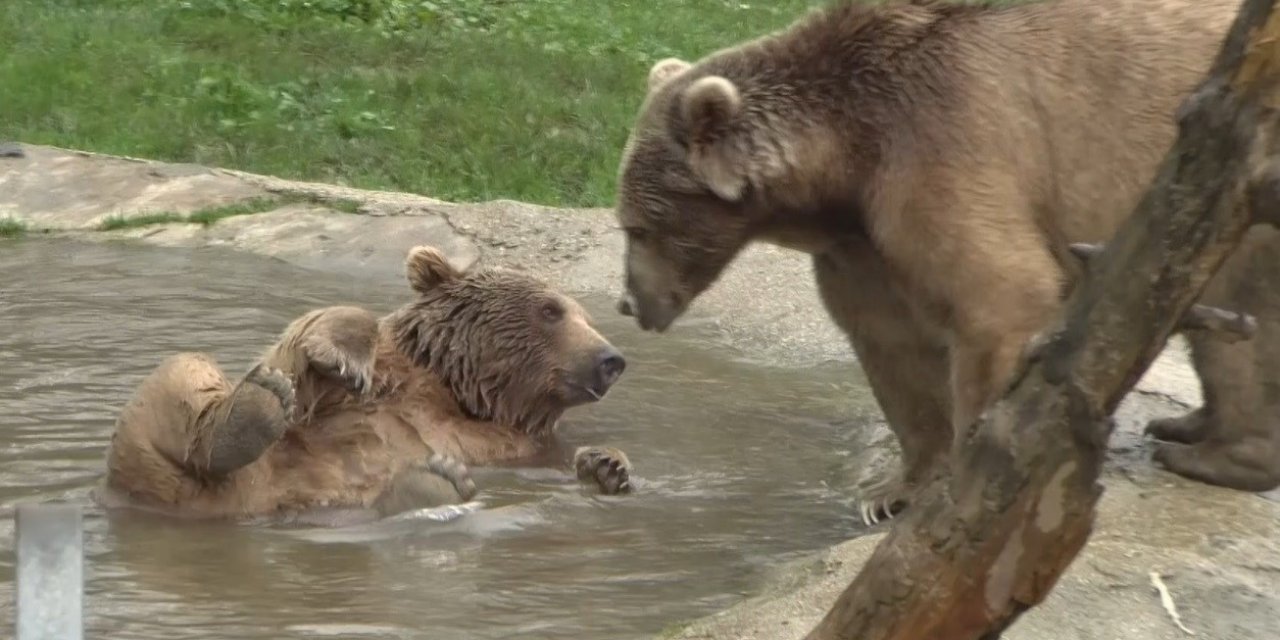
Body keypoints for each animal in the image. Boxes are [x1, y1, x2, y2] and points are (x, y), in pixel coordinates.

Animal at [92, 241, 632, 522]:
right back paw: (252, 411)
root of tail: (250, 507)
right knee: (181, 376)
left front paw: (607, 464)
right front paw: (341, 355)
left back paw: (435, 483)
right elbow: (316, 355)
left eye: (585, 316)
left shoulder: (522, 446)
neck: (461, 392)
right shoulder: (384, 375)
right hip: (162, 465)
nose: (611, 358)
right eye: (552, 310)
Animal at [611, 0, 1280, 524]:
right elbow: (893, 351)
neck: (845, 163)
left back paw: (1209, 454)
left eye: (637, 227)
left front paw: (966, 477)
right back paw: (1186, 426)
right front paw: (891, 492)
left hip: (1235, 197)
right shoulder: (862, 245)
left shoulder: (940, 145)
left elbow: (997, 299)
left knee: (1241, 327)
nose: (628, 301)